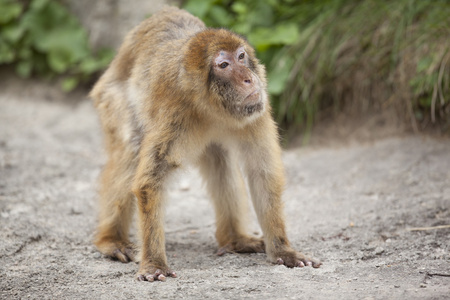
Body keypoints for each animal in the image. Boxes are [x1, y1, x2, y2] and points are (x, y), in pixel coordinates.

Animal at [89, 5, 320, 282]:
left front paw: (283, 251)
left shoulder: (257, 110)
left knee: (221, 160)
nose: (249, 79)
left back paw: (234, 240)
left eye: (241, 56)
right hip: (111, 98)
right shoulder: (175, 114)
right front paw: (154, 262)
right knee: (131, 151)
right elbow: (150, 182)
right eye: (223, 65)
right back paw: (111, 240)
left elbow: (262, 174)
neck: (212, 109)